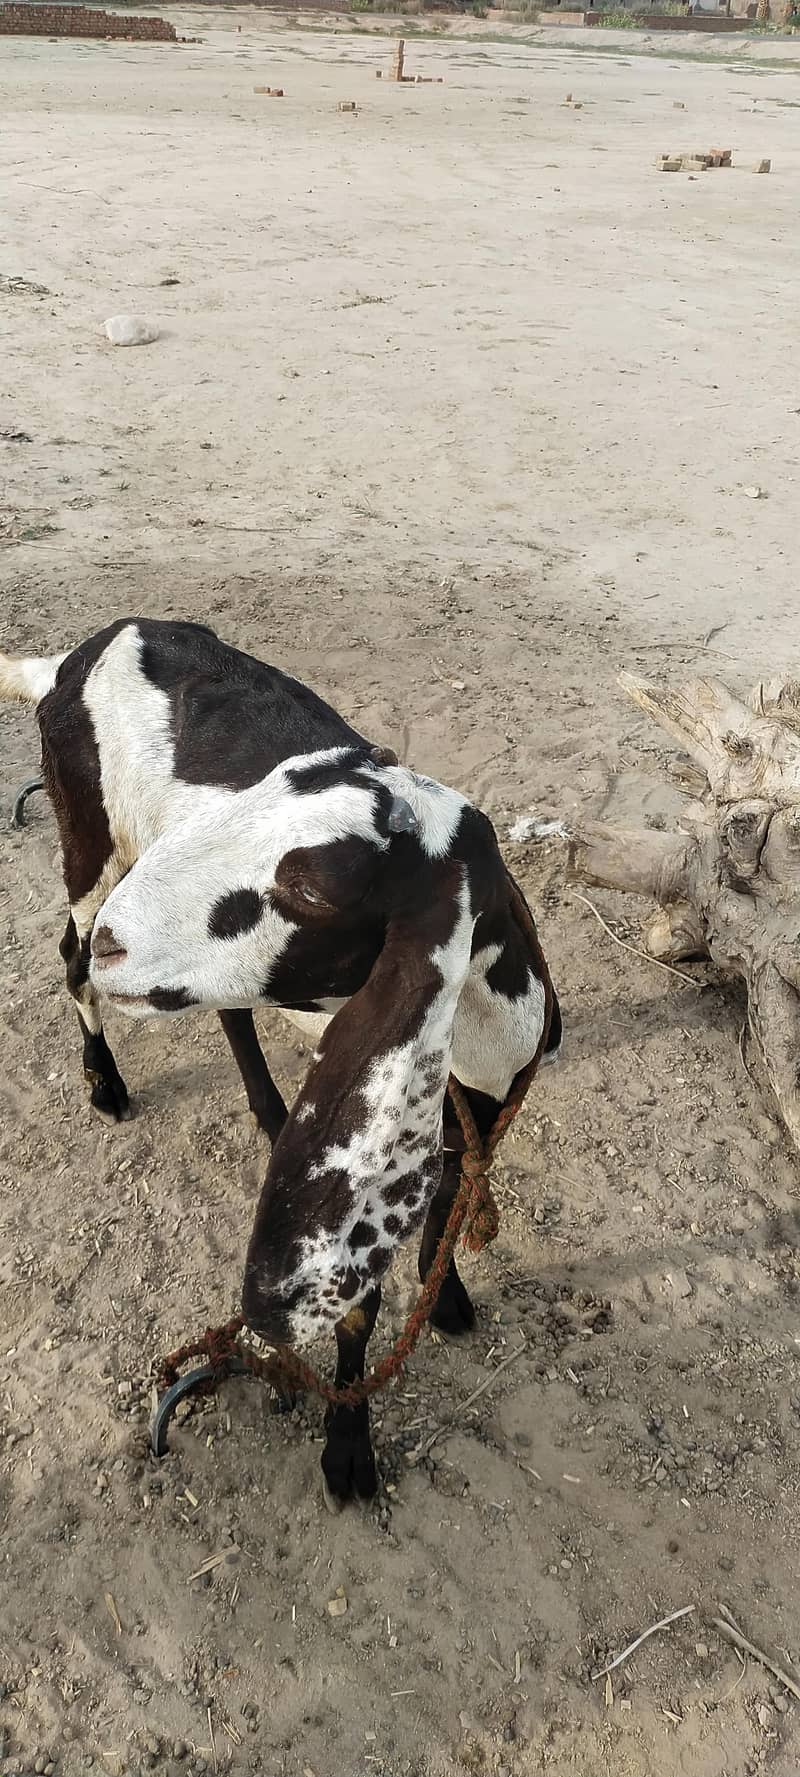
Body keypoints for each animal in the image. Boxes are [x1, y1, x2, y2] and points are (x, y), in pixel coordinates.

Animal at [1, 618, 560, 1506]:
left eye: (314, 889)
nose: (119, 941)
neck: (477, 1040)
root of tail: (76, 656)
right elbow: (358, 1300)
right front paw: (349, 1448)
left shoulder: (472, 1105)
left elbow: (448, 1193)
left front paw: (448, 1295)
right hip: (86, 833)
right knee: (67, 950)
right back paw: (106, 1079)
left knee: (217, 1004)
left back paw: (259, 1102)